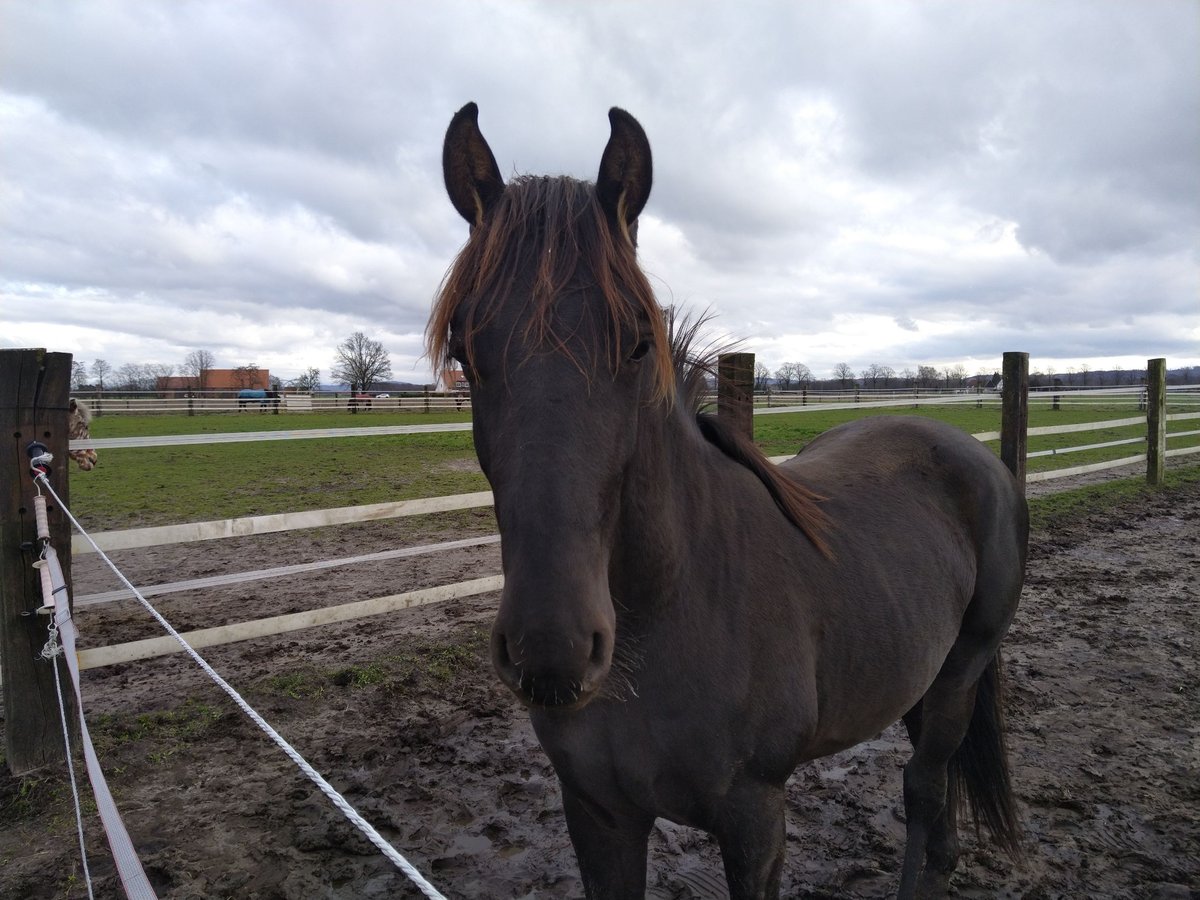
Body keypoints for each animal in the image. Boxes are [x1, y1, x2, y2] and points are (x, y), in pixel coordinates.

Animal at [427, 103, 1027, 897]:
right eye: (465, 350)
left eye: (639, 343)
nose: (551, 650)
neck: (672, 609)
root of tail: (970, 451)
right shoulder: (597, 814)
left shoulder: (754, 820)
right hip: (916, 676)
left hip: (961, 671)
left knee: (925, 789)